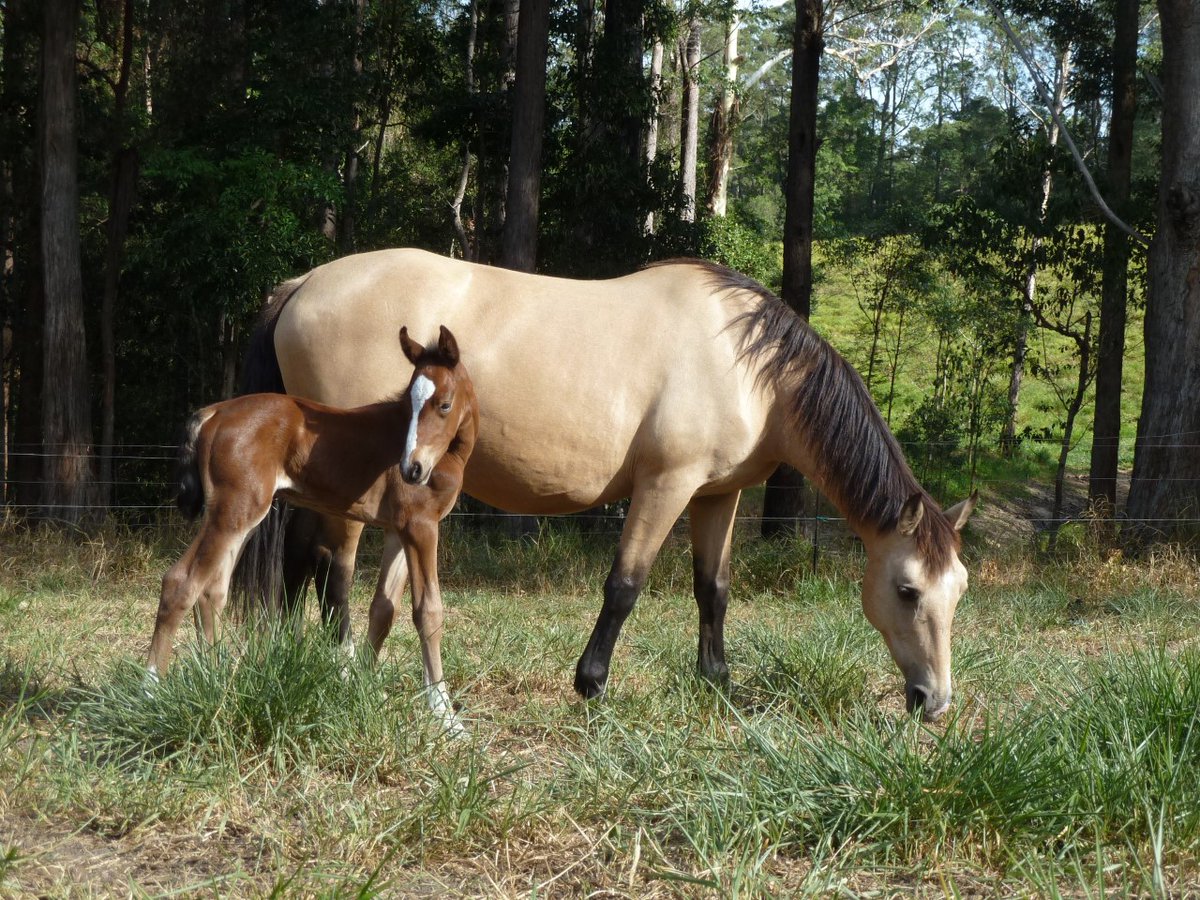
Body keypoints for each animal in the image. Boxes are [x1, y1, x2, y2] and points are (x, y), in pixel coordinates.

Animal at [148, 325, 477, 731]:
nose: (411, 470)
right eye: (409, 403)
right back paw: (150, 691)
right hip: (233, 510)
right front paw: (446, 717)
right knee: (181, 582)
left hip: (240, 515)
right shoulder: (421, 527)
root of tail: (214, 412)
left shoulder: (399, 532)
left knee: (212, 591)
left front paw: (366, 690)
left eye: (444, 405)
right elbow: (427, 611)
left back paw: (215, 680)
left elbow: (384, 607)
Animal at [242, 249, 976, 721]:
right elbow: (625, 584)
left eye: (958, 592)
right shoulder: (665, 486)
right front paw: (591, 684)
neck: (750, 369)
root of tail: (304, 283)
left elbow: (714, 589)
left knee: (306, 562)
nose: (936, 703)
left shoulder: (718, 495)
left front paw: (717, 682)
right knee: (332, 565)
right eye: (907, 590)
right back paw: (339, 666)